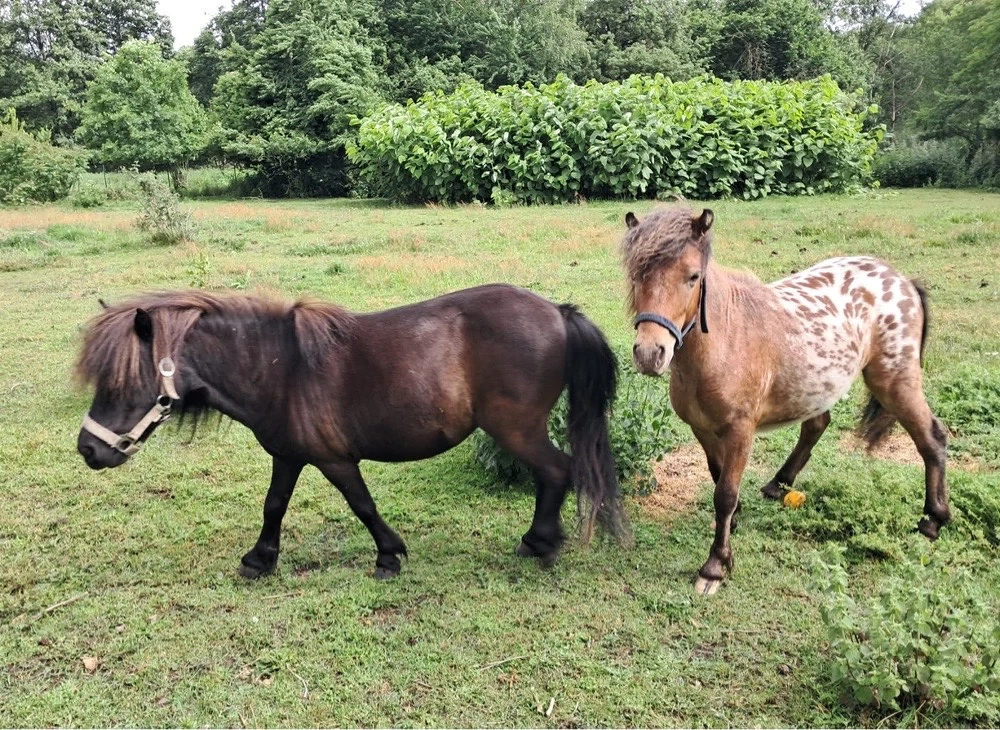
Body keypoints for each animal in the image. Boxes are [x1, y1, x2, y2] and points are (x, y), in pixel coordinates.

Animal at [75, 285, 630, 579]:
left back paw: (541, 543)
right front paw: (260, 559)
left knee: (557, 472)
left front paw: (389, 555)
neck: (280, 369)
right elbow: (274, 505)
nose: (87, 450)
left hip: (516, 429)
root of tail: (557, 311)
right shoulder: (289, 455)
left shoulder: (333, 458)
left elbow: (362, 504)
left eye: (119, 383)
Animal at [621, 204, 949, 595]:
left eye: (693, 276)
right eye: (636, 275)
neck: (726, 340)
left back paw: (933, 519)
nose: (650, 354)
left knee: (931, 437)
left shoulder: (740, 431)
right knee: (817, 425)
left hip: (895, 382)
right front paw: (733, 527)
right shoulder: (703, 429)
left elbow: (725, 493)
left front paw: (715, 566)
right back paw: (779, 484)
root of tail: (903, 281)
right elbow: (718, 477)